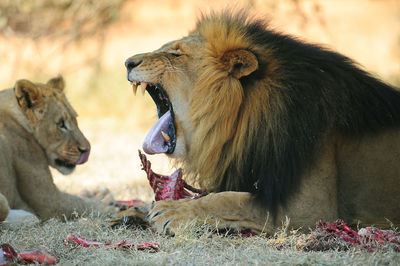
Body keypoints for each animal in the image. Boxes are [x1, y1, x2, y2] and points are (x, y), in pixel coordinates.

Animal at [0, 76, 109, 223]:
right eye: (61, 124)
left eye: (75, 119)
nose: (87, 150)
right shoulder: (50, 200)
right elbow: (84, 205)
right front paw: (110, 205)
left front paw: (95, 193)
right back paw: (28, 217)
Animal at [124, 11, 400, 235]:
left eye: (175, 54)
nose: (127, 62)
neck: (244, 119)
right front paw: (138, 210)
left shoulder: (312, 208)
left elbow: (227, 200)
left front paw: (172, 210)